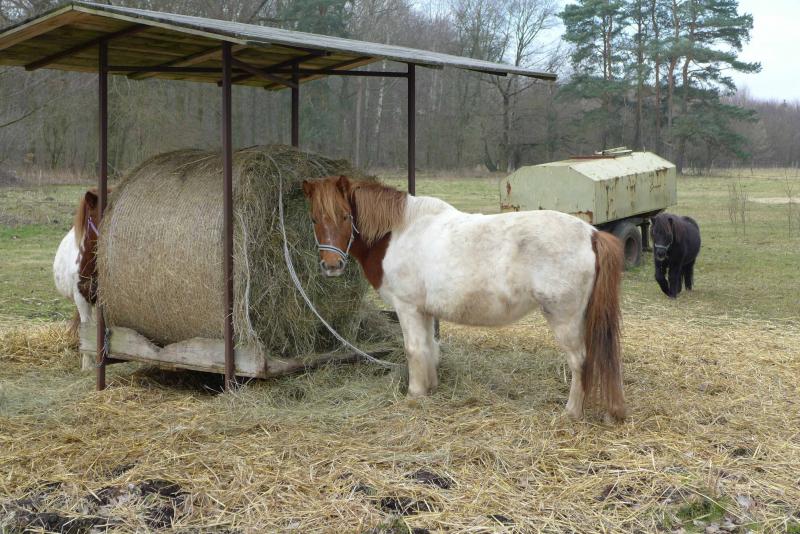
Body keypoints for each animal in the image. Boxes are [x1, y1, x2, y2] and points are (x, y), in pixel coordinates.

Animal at [302, 176, 627, 421]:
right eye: (314, 219)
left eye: (345, 216)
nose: (331, 266)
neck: (399, 233)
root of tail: (591, 234)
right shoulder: (424, 311)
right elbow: (429, 348)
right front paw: (430, 387)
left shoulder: (407, 308)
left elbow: (413, 349)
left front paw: (414, 395)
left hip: (564, 319)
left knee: (580, 361)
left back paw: (571, 412)